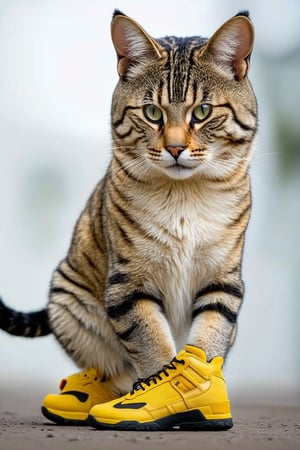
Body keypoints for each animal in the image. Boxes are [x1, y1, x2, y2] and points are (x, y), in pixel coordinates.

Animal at [1, 9, 256, 398]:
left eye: (203, 111)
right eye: (152, 112)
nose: (176, 148)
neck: (186, 196)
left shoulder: (222, 282)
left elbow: (207, 344)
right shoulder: (129, 284)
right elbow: (152, 345)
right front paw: (159, 389)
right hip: (68, 301)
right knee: (107, 369)